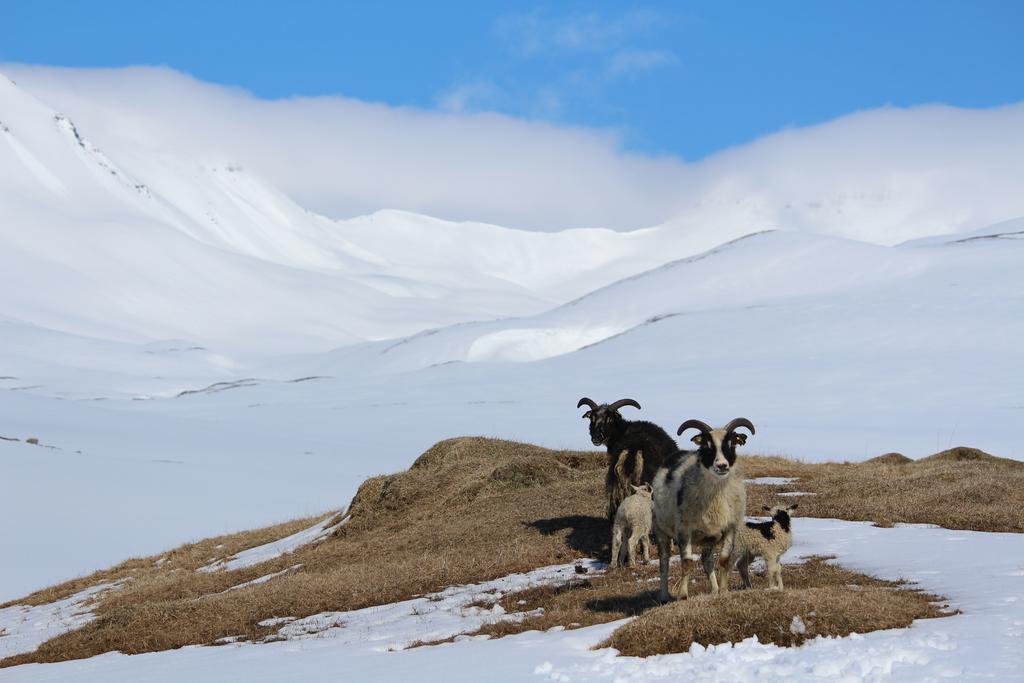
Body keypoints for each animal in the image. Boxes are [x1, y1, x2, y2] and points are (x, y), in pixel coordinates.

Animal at [655, 417, 753, 602]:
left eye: (731, 444)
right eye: (707, 446)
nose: (722, 465)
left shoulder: (730, 528)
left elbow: (724, 560)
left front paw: (723, 591)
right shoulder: (684, 530)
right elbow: (686, 562)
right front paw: (683, 595)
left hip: (709, 538)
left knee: (707, 561)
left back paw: (714, 589)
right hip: (661, 531)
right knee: (664, 562)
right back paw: (663, 596)